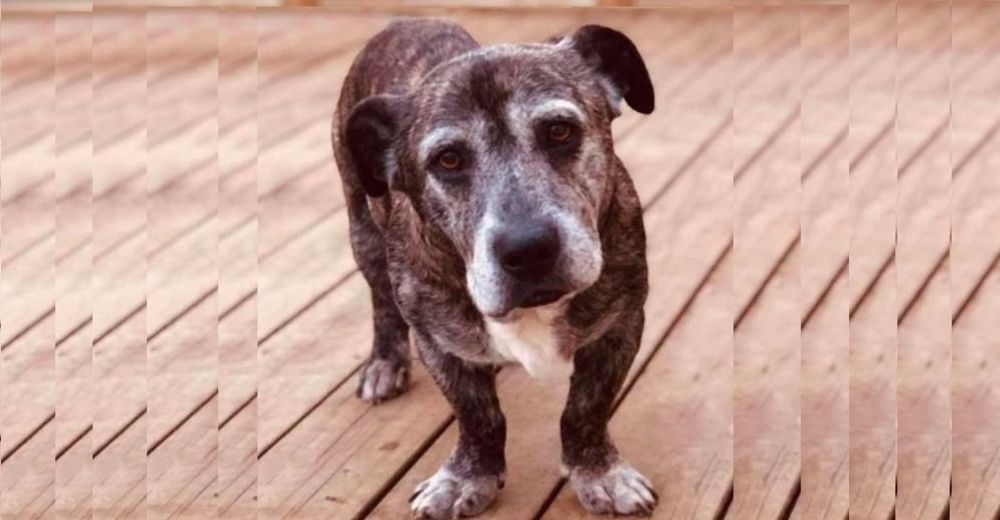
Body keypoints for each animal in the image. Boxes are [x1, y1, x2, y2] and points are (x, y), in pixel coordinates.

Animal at [336, 18, 660, 516]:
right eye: (448, 159)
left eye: (559, 131)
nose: (527, 249)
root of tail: (405, 21)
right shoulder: (439, 343)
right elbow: (477, 416)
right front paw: (466, 477)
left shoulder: (619, 327)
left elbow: (586, 408)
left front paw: (598, 472)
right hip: (363, 233)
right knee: (381, 302)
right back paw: (385, 363)